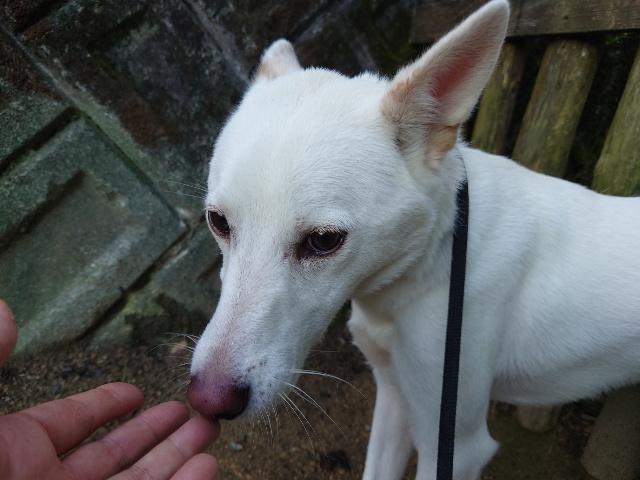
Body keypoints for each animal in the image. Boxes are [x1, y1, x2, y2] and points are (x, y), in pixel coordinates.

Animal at [186, 1, 640, 478]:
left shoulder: (456, 445)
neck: (433, 259)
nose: (207, 401)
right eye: (217, 222)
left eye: (324, 241)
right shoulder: (394, 396)